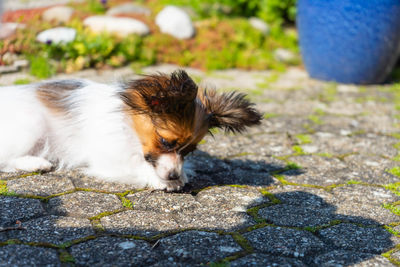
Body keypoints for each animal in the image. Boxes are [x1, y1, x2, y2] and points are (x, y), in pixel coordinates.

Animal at [0, 70, 262, 192]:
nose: (173, 175)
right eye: (166, 142)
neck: (128, 124)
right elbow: (136, 166)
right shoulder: (109, 159)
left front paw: (182, 175)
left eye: (189, 152)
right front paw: (161, 180)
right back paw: (36, 163)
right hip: (31, 124)